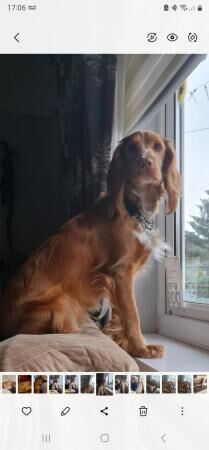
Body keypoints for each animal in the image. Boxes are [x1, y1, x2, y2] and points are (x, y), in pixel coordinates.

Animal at [0, 131, 180, 358]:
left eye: (157, 147)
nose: (145, 162)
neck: (134, 210)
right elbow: (132, 314)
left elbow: (119, 315)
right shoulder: (121, 272)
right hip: (64, 301)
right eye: (132, 148)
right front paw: (141, 348)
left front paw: (125, 344)